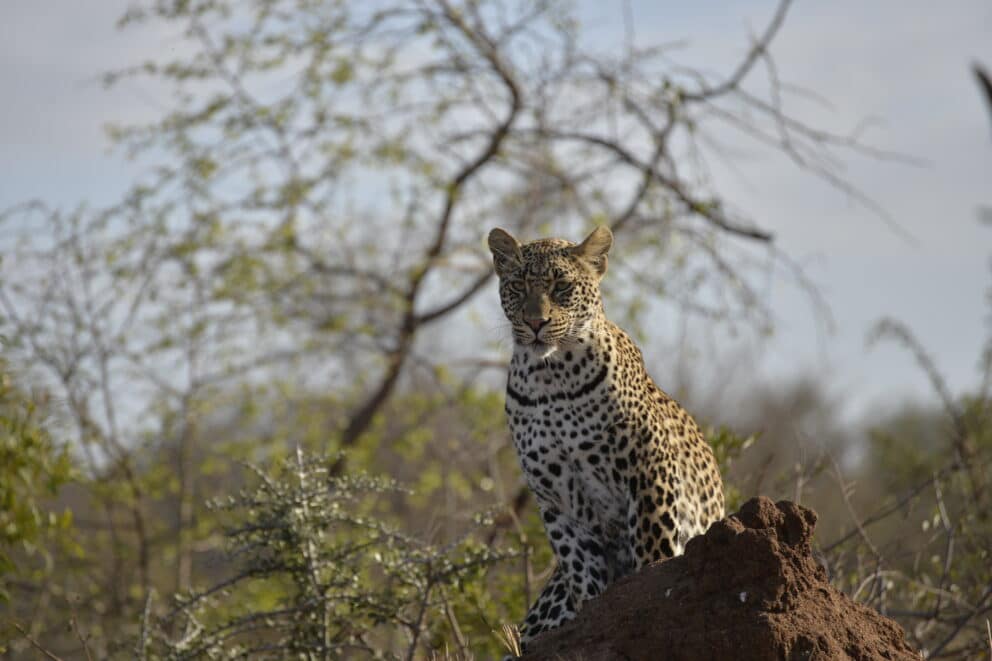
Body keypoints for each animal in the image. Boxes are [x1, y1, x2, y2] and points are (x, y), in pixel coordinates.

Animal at [488, 225, 725, 651]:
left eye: (562, 286)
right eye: (517, 285)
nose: (535, 323)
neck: (552, 378)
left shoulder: (648, 473)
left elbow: (652, 557)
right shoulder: (556, 500)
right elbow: (583, 574)